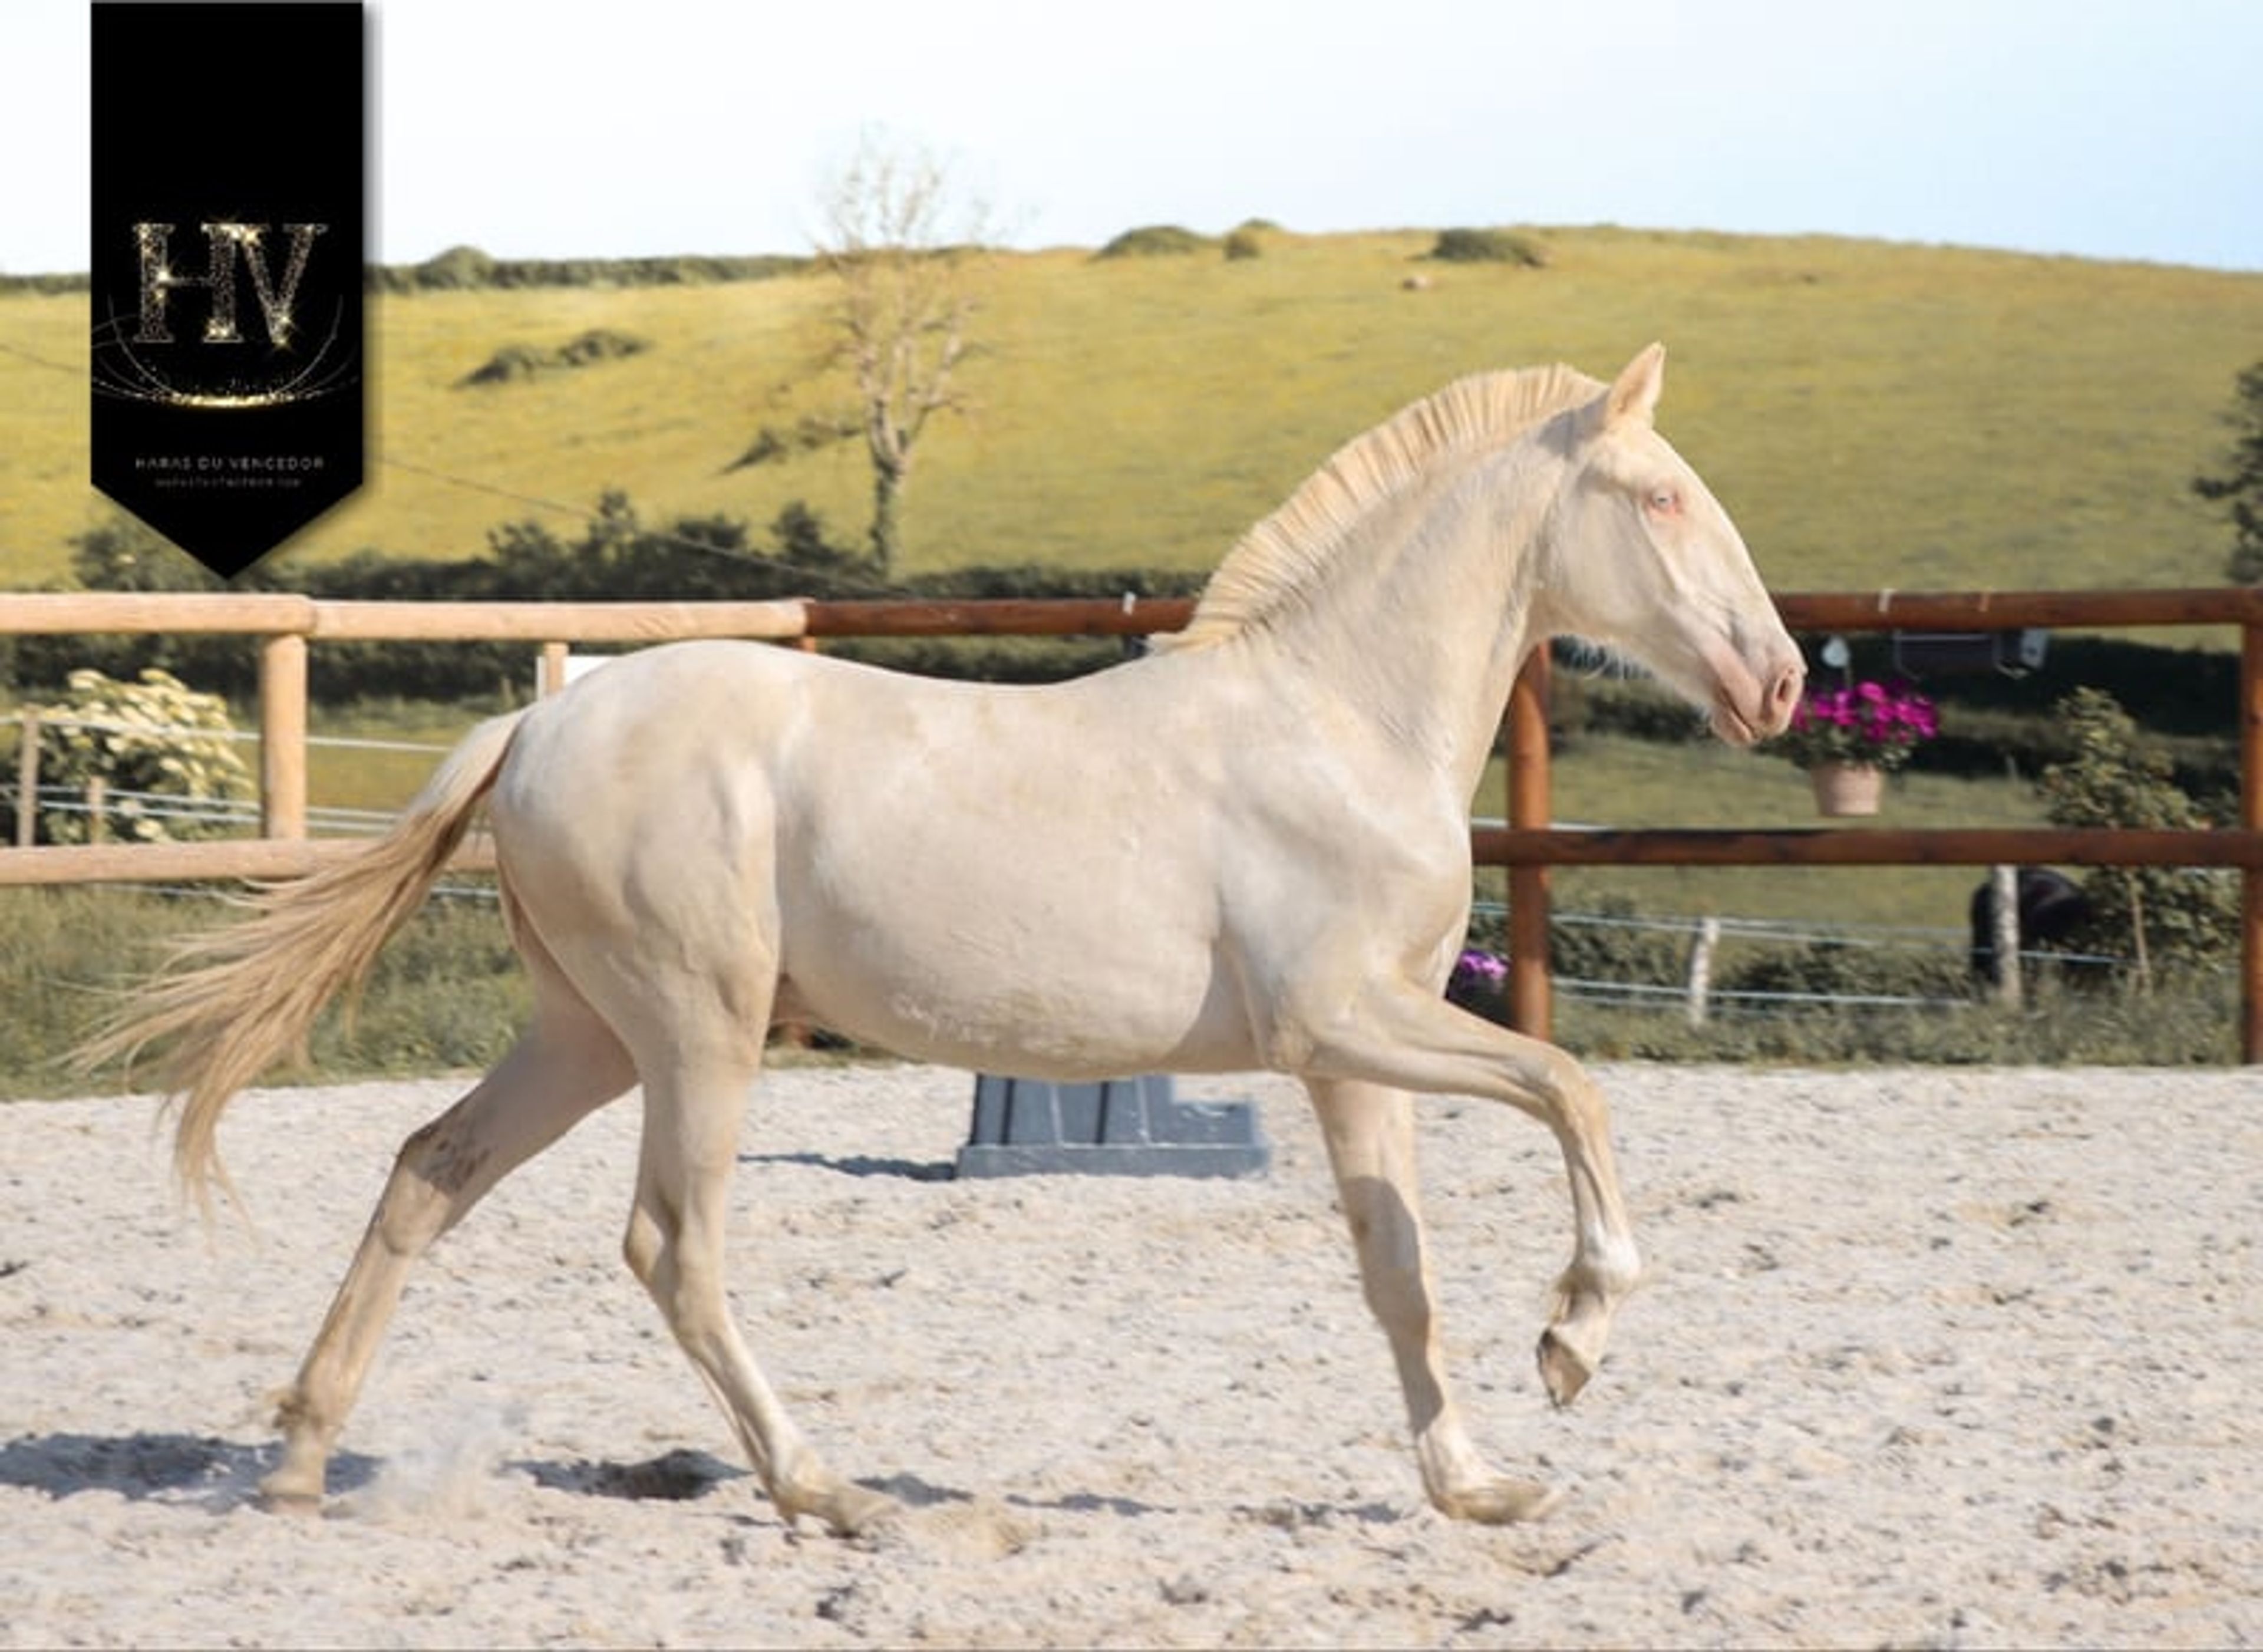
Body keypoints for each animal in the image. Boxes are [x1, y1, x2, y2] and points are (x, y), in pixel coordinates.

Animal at [93, 344, 1804, 1533]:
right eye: (1660, 495)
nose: (1778, 680)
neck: (1336, 720)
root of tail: (537, 722)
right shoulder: (1344, 1021)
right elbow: (1571, 1087)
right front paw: (1575, 1338)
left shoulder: (1344, 1060)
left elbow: (1399, 1268)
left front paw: (1478, 1483)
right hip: (696, 1033)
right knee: (673, 1245)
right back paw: (824, 1489)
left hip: (589, 1036)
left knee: (427, 1173)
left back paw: (299, 1462)